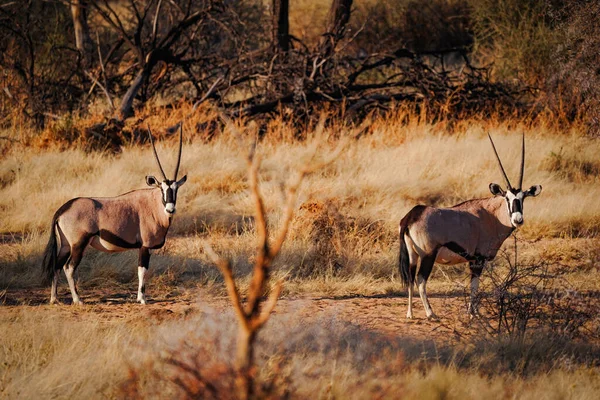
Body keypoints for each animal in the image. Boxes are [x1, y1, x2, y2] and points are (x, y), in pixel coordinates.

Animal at [41, 126, 186, 304]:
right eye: (162, 189)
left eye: (176, 189)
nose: (170, 209)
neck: (153, 205)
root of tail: (62, 209)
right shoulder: (145, 246)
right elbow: (142, 271)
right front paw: (142, 299)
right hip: (78, 244)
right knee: (69, 267)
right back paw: (77, 300)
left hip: (66, 245)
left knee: (56, 266)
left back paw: (54, 299)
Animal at [400, 134, 540, 318]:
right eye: (506, 198)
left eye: (523, 198)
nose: (518, 219)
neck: (491, 215)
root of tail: (412, 215)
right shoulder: (478, 259)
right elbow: (475, 285)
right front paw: (473, 313)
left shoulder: (473, 259)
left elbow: (474, 285)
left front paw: (473, 311)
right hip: (427, 255)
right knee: (420, 280)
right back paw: (431, 313)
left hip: (413, 255)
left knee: (410, 278)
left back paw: (410, 313)